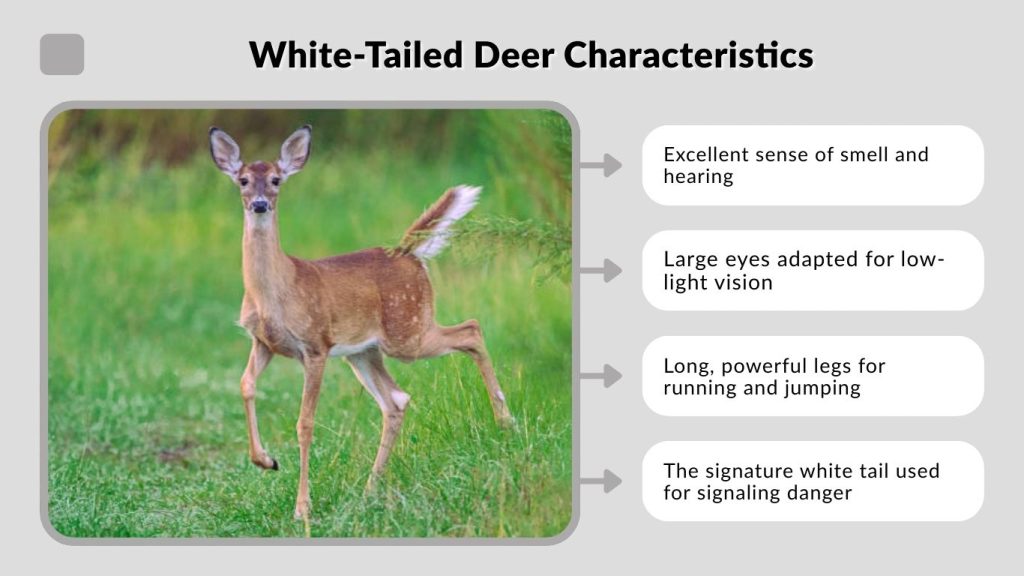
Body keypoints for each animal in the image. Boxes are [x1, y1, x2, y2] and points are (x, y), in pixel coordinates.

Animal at [208, 125, 513, 520]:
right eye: (243, 180)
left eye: (276, 180)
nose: (260, 203)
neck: (276, 292)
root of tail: (408, 252)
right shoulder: (263, 342)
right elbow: (245, 384)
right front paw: (266, 461)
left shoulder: (316, 345)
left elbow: (305, 422)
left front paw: (302, 507)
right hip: (365, 352)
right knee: (396, 399)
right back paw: (370, 490)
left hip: (407, 331)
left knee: (471, 329)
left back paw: (505, 421)